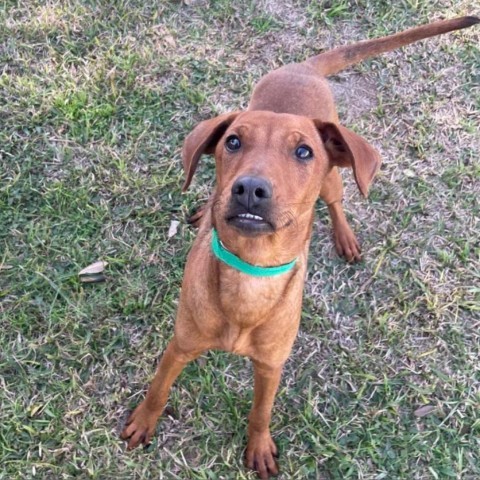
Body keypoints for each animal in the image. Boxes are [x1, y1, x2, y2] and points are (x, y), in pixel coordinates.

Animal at [122, 15, 478, 480]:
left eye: (304, 151)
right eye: (233, 142)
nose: (250, 189)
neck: (249, 272)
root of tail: (305, 67)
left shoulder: (271, 366)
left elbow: (261, 412)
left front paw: (258, 447)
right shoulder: (180, 345)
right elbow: (159, 387)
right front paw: (144, 421)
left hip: (335, 178)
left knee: (338, 200)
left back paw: (345, 237)